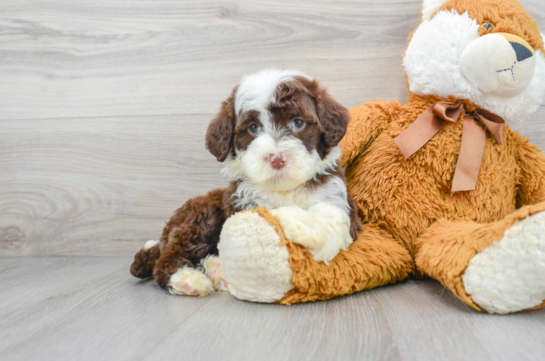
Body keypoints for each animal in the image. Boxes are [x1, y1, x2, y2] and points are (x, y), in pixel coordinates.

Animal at [131, 68, 362, 296]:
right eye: (253, 128)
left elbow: (333, 216)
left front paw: (310, 230)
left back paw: (216, 271)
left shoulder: (335, 195)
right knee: (167, 259)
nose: (277, 159)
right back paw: (188, 279)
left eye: (298, 122)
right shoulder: (242, 202)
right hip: (201, 215)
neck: (284, 189)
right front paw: (297, 222)